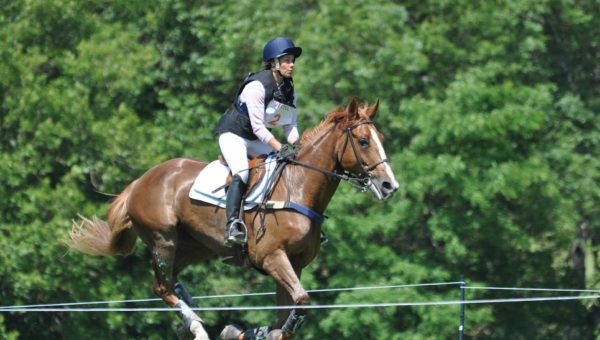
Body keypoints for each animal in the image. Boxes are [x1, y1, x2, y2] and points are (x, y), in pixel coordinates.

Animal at [69, 97, 398, 338]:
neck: (299, 187)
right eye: (363, 141)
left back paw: (190, 318)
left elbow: (286, 315)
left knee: (172, 282)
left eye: (381, 137)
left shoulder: (294, 265)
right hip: (164, 240)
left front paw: (252, 331)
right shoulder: (272, 257)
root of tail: (139, 181)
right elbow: (300, 304)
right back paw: (198, 328)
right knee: (162, 287)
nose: (389, 186)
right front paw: (246, 332)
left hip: (194, 247)